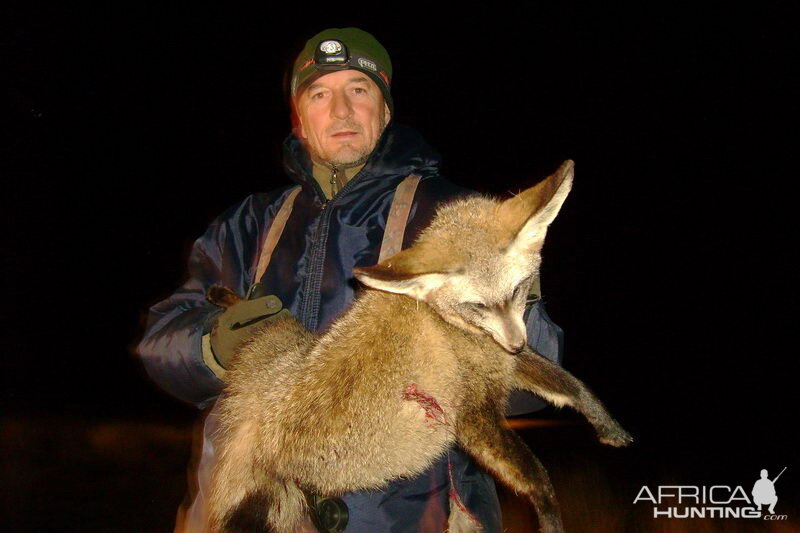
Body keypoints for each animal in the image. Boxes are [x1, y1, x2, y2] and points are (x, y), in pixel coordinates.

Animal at [206, 160, 632, 528]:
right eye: (477, 305)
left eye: (517, 291)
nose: (515, 344)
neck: (445, 322)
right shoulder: (472, 414)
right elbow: (537, 477)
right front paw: (550, 518)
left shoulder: (499, 359)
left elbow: (570, 385)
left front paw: (608, 426)